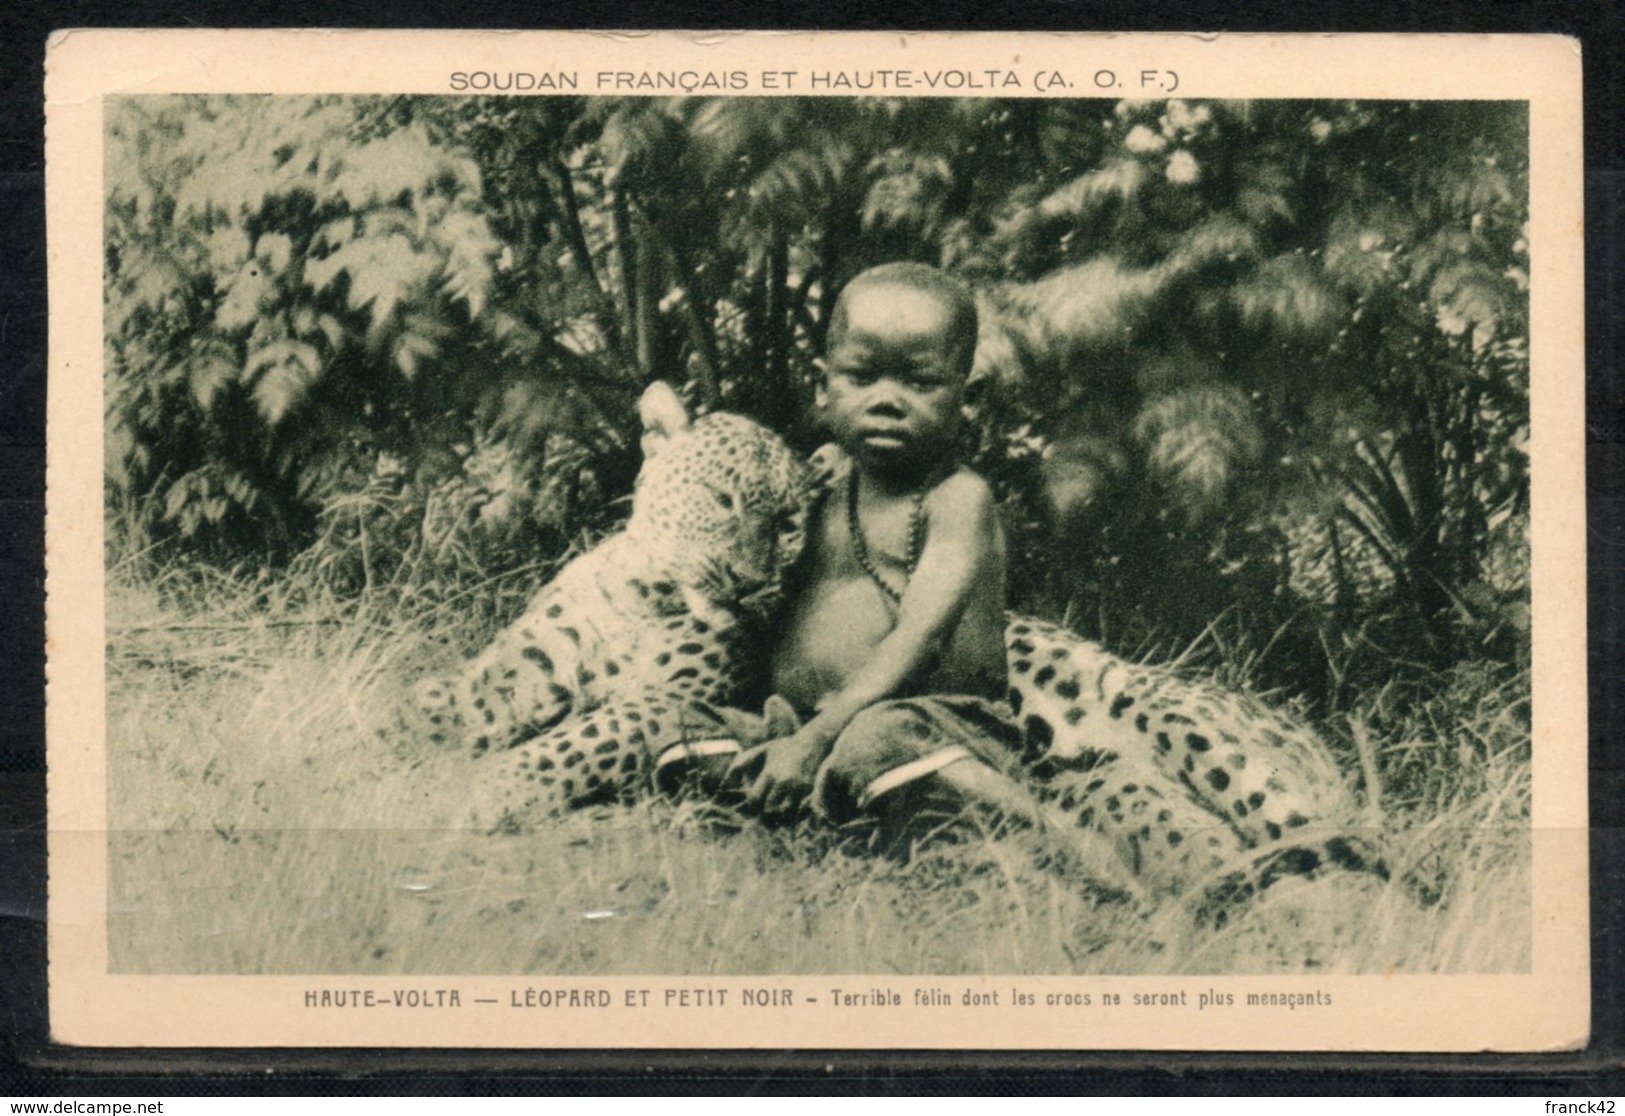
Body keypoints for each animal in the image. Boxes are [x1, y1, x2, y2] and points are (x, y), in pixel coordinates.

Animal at [412, 383, 806, 828]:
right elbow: (469, 697)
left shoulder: (675, 696)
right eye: (722, 499)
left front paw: (498, 786)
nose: (749, 579)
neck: (640, 595)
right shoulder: (534, 656)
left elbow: (588, 737)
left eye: (789, 525)